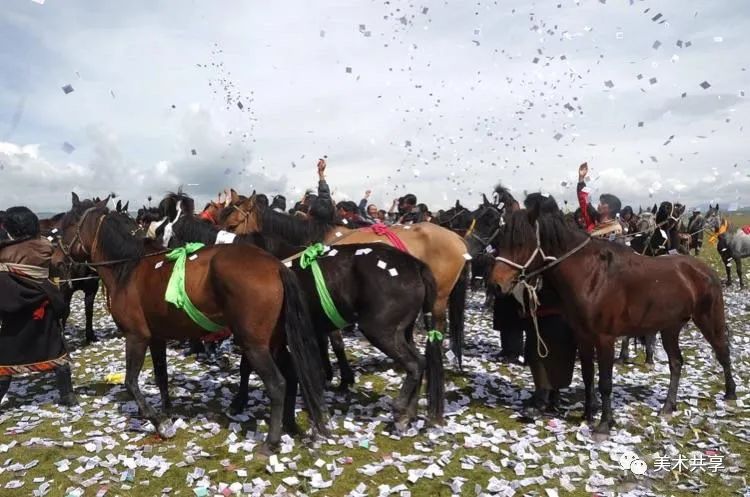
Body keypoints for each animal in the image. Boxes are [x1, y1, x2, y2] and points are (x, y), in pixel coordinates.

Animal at [58, 196, 328, 452]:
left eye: (68, 224)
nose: (57, 260)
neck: (129, 268)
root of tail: (277, 266)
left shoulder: (136, 337)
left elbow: (131, 382)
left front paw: (159, 422)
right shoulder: (156, 338)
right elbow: (161, 376)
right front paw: (167, 412)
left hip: (255, 345)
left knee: (277, 384)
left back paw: (271, 441)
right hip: (275, 342)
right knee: (292, 375)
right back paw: (289, 423)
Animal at [214, 191, 468, 368]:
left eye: (232, 224)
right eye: (218, 220)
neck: (315, 242)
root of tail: (458, 238)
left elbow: (331, 339)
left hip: (440, 296)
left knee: (439, 326)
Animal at [490, 202, 736, 438]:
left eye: (521, 243)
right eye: (500, 241)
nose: (496, 285)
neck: (592, 277)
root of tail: (703, 270)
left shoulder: (605, 339)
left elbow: (605, 383)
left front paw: (604, 424)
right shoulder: (583, 337)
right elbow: (588, 376)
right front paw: (588, 414)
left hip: (708, 319)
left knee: (722, 352)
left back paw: (730, 394)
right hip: (670, 328)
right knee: (676, 363)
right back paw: (668, 406)